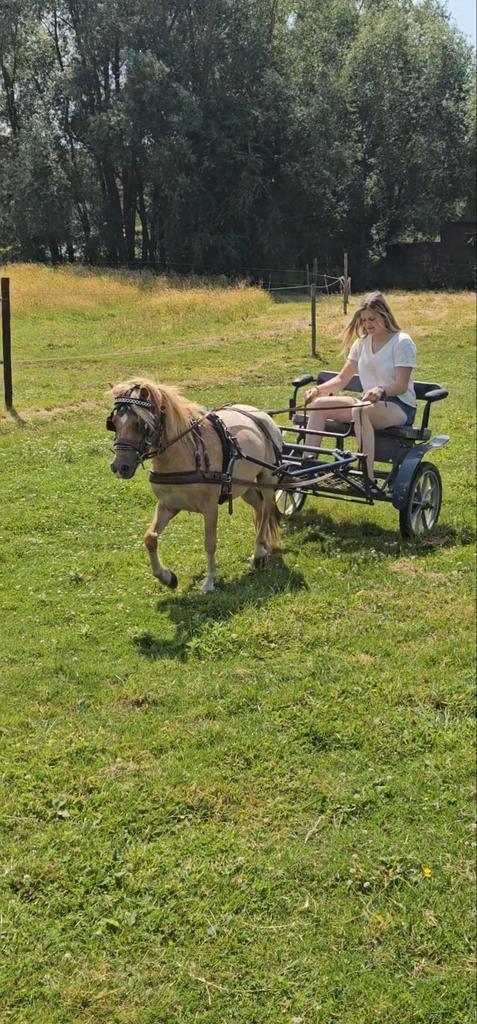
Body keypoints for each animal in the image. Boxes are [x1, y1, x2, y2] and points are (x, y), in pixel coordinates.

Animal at [107, 378, 283, 593]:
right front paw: (167, 577)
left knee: (266, 509)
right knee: (259, 507)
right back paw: (262, 548)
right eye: (114, 423)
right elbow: (150, 538)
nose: (119, 467)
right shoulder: (168, 505)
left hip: (267, 478)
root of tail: (261, 415)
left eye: (140, 424)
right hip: (245, 486)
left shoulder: (210, 507)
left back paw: (258, 551)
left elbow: (210, 543)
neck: (183, 453)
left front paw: (210, 580)